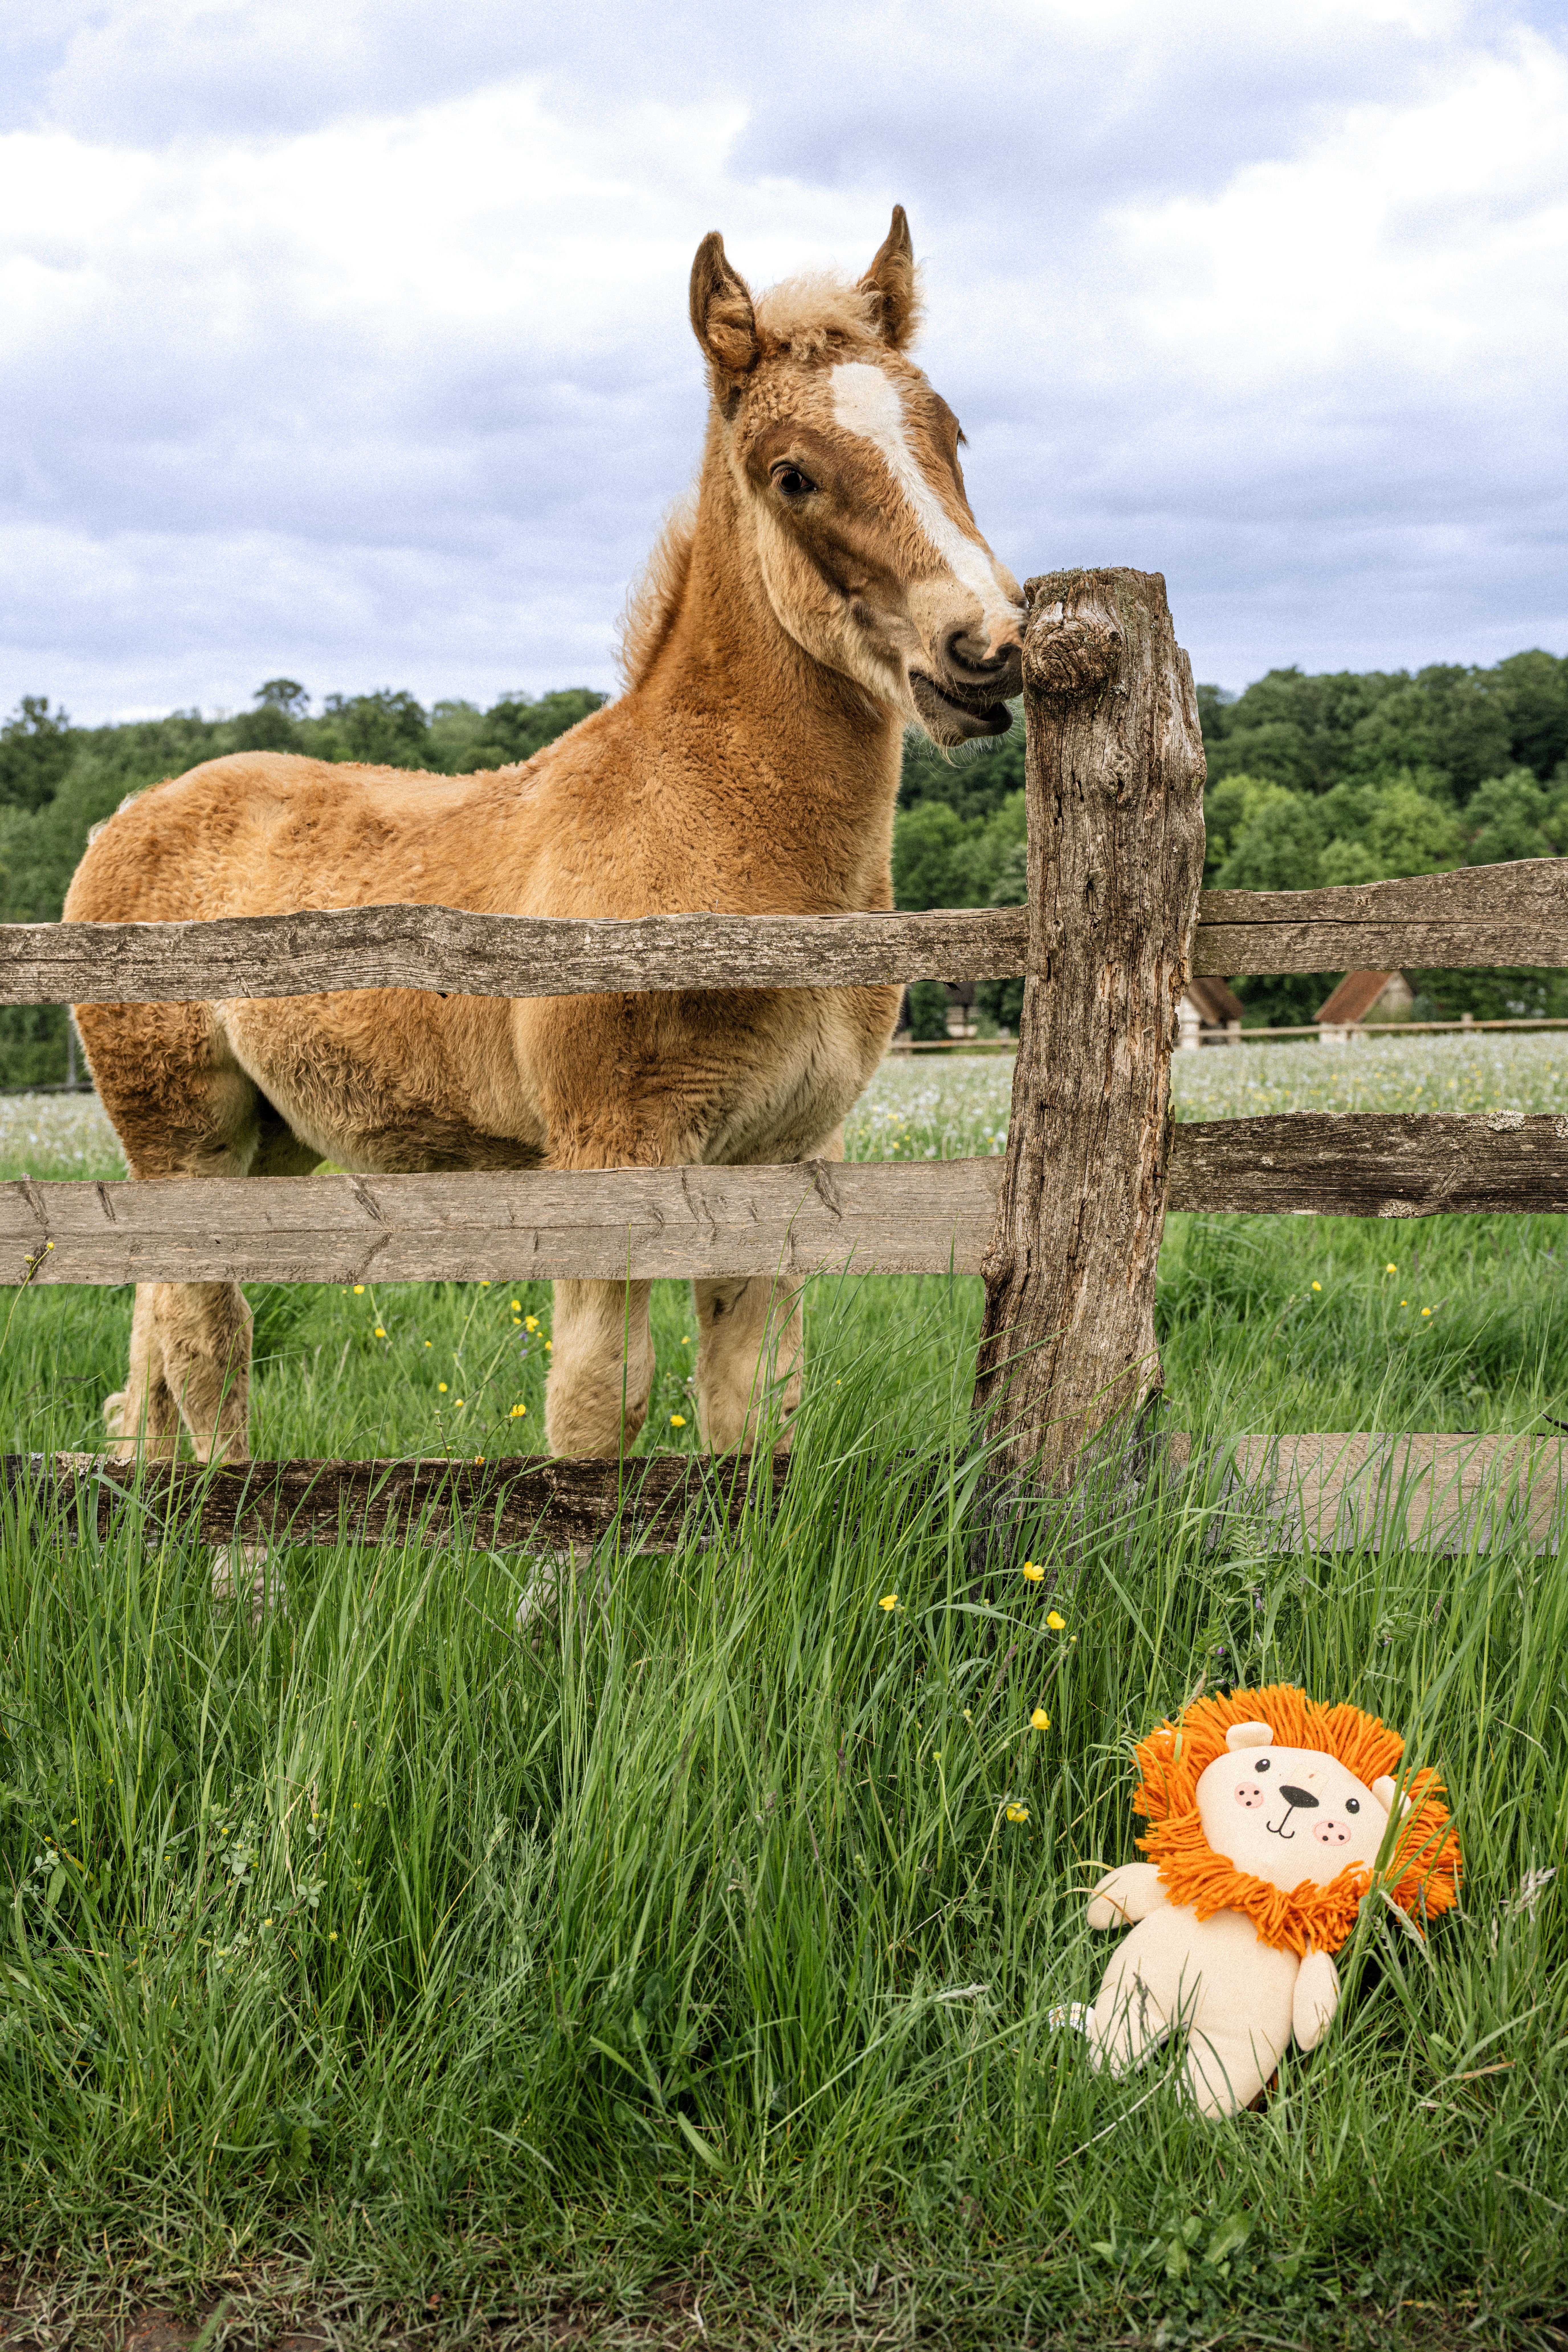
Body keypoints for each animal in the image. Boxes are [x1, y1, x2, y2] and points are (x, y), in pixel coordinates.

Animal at [65, 207, 1025, 1468]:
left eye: (950, 435)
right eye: (793, 474)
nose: (988, 649)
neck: (716, 841)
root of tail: (127, 815)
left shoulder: (784, 1164)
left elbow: (751, 1407)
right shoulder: (607, 1160)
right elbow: (596, 1409)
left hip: (265, 1144)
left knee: (149, 1344)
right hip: (183, 1137)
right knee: (202, 1339)